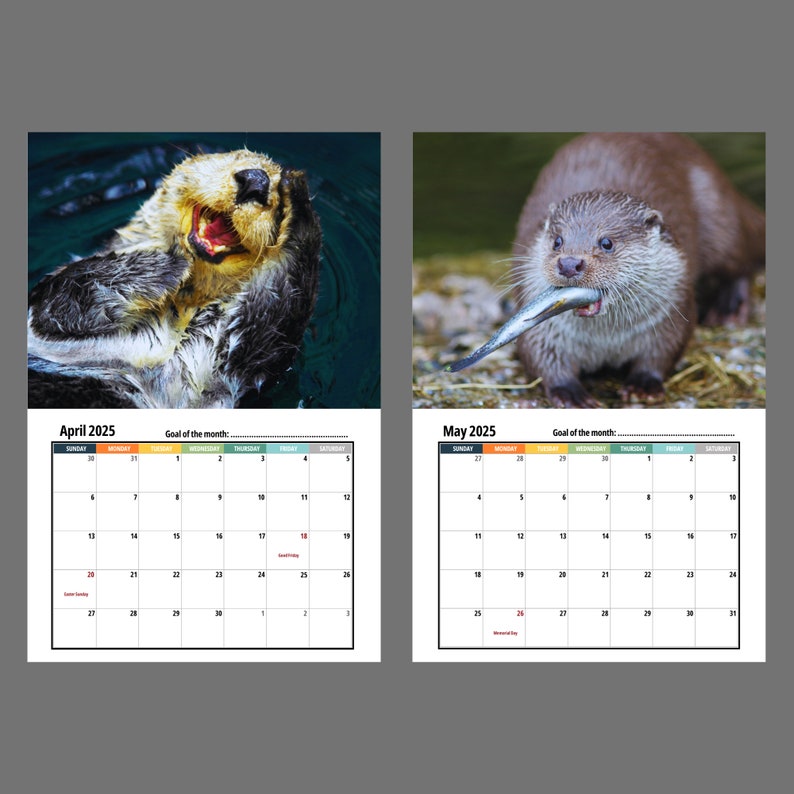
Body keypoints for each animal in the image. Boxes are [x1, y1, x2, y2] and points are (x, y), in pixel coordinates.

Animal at [28, 149, 322, 408]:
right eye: (239, 157)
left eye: (278, 202)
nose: (256, 181)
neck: (177, 311)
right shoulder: (44, 307)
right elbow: (61, 298)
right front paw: (171, 264)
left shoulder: (209, 375)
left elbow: (270, 319)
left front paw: (298, 196)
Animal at [448, 133, 765, 407]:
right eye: (557, 241)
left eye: (607, 242)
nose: (569, 263)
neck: (607, 341)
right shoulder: (543, 327)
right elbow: (541, 358)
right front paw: (570, 393)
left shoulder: (672, 310)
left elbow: (663, 351)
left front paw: (643, 385)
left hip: (718, 215)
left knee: (740, 260)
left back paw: (729, 307)